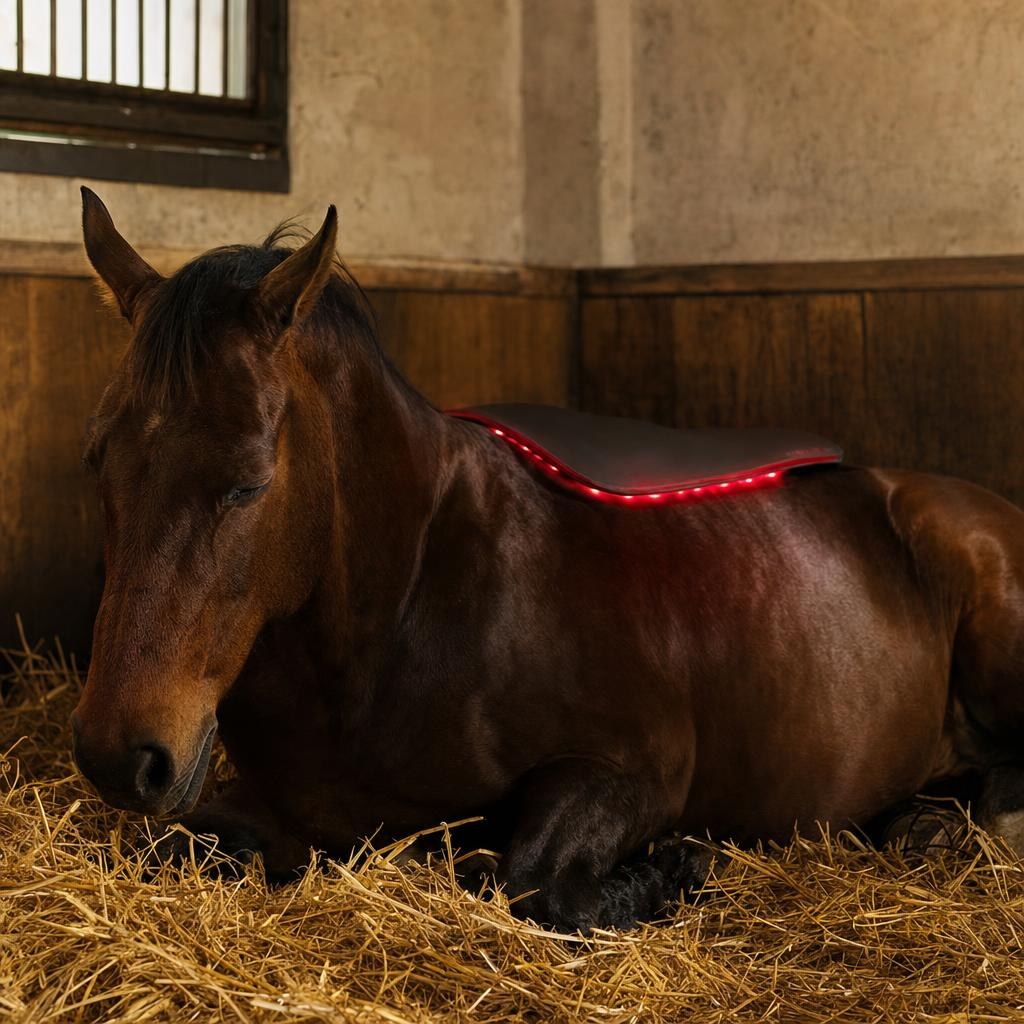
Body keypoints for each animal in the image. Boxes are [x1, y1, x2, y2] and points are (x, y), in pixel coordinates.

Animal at [72, 187, 1024, 932]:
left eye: (247, 482)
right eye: (96, 462)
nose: (121, 757)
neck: (409, 607)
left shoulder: (632, 770)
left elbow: (525, 880)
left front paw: (668, 868)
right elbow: (167, 845)